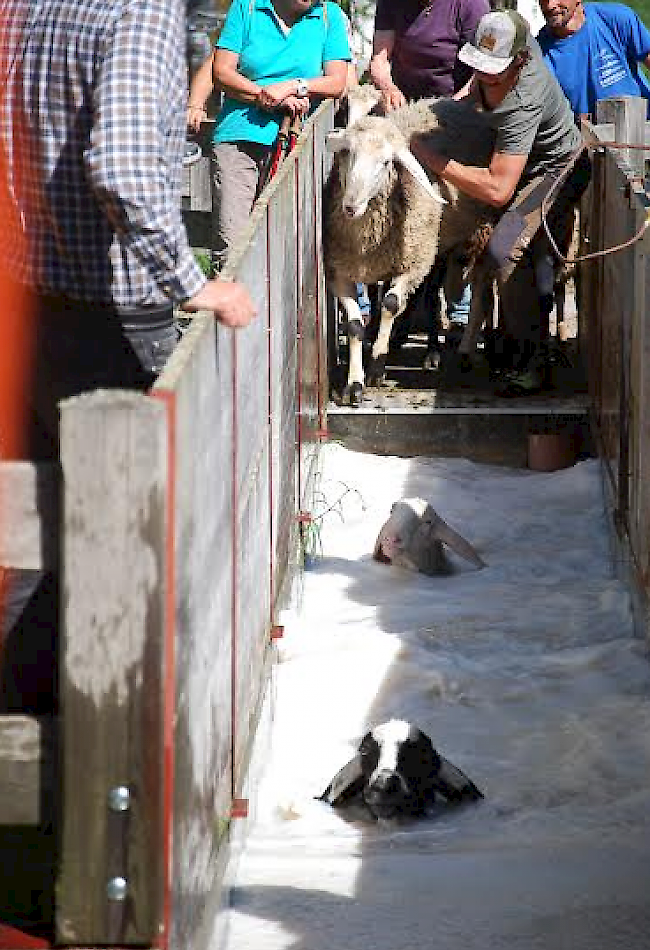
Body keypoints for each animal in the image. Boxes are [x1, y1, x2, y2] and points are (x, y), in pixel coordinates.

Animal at [324, 96, 496, 406]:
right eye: (348, 153)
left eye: (385, 162)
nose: (350, 206)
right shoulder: (340, 270)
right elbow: (355, 325)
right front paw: (354, 384)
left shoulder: (412, 265)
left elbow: (391, 304)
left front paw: (377, 366)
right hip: (437, 245)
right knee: (430, 293)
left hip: (475, 234)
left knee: (478, 292)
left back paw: (456, 350)